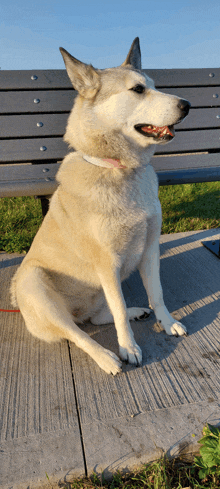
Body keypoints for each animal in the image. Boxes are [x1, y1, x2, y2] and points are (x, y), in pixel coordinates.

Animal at [10, 38, 190, 374]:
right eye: (138, 90)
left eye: (154, 86)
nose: (187, 105)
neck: (121, 170)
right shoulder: (107, 264)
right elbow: (116, 314)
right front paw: (128, 347)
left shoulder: (150, 249)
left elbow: (156, 294)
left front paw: (167, 321)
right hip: (34, 284)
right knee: (77, 333)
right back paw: (106, 356)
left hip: (96, 293)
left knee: (96, 318)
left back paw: (135, 311)